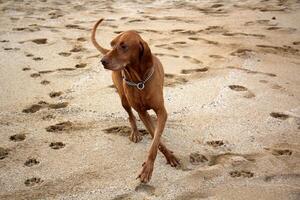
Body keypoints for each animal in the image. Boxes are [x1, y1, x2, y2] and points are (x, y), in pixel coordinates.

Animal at [91, 18, 179, 183]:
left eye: (124, 46)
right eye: (112, 44)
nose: (102, 61)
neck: (139, 81)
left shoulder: (161, 112)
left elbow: (155, 140)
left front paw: (166, 158)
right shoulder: (142, 112)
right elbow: (155, 139)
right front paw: (152, 165)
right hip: (124, 99)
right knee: (130, 115)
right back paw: (135, 132)